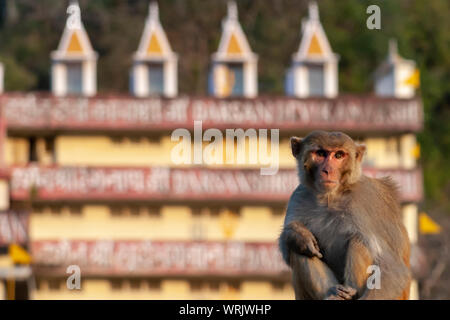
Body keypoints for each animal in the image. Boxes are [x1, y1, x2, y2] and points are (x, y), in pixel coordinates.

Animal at [280, 130, 414, 300]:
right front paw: (298, 234)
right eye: (321, 153)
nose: (327, 170)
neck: (330, 197)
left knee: (359, 240)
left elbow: (393, 268)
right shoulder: (298, 196)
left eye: (339, 155)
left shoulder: (366, 202)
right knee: (299, 250)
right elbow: (288, 248)